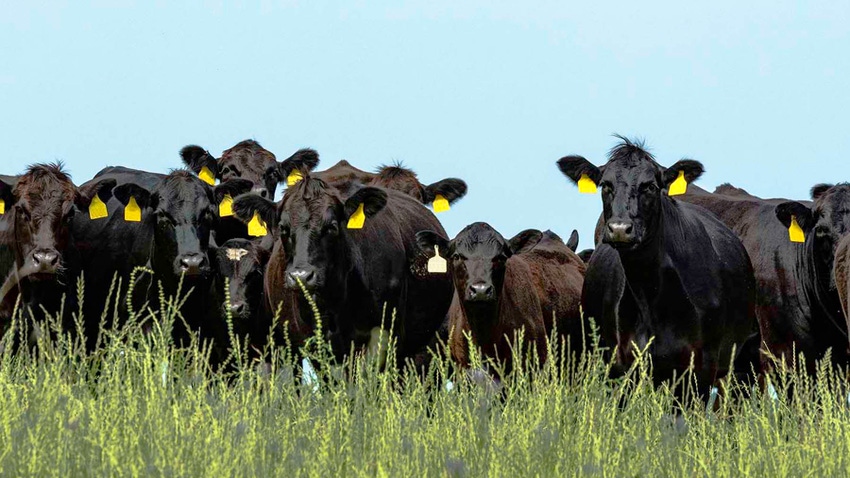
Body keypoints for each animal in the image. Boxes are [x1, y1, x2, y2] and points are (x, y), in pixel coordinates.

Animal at [556, 138, 756, 392]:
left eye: (650, 186)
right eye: (605, 185)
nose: (620, 228)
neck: (651, 294)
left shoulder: (699, 370)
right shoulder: (622, 366)